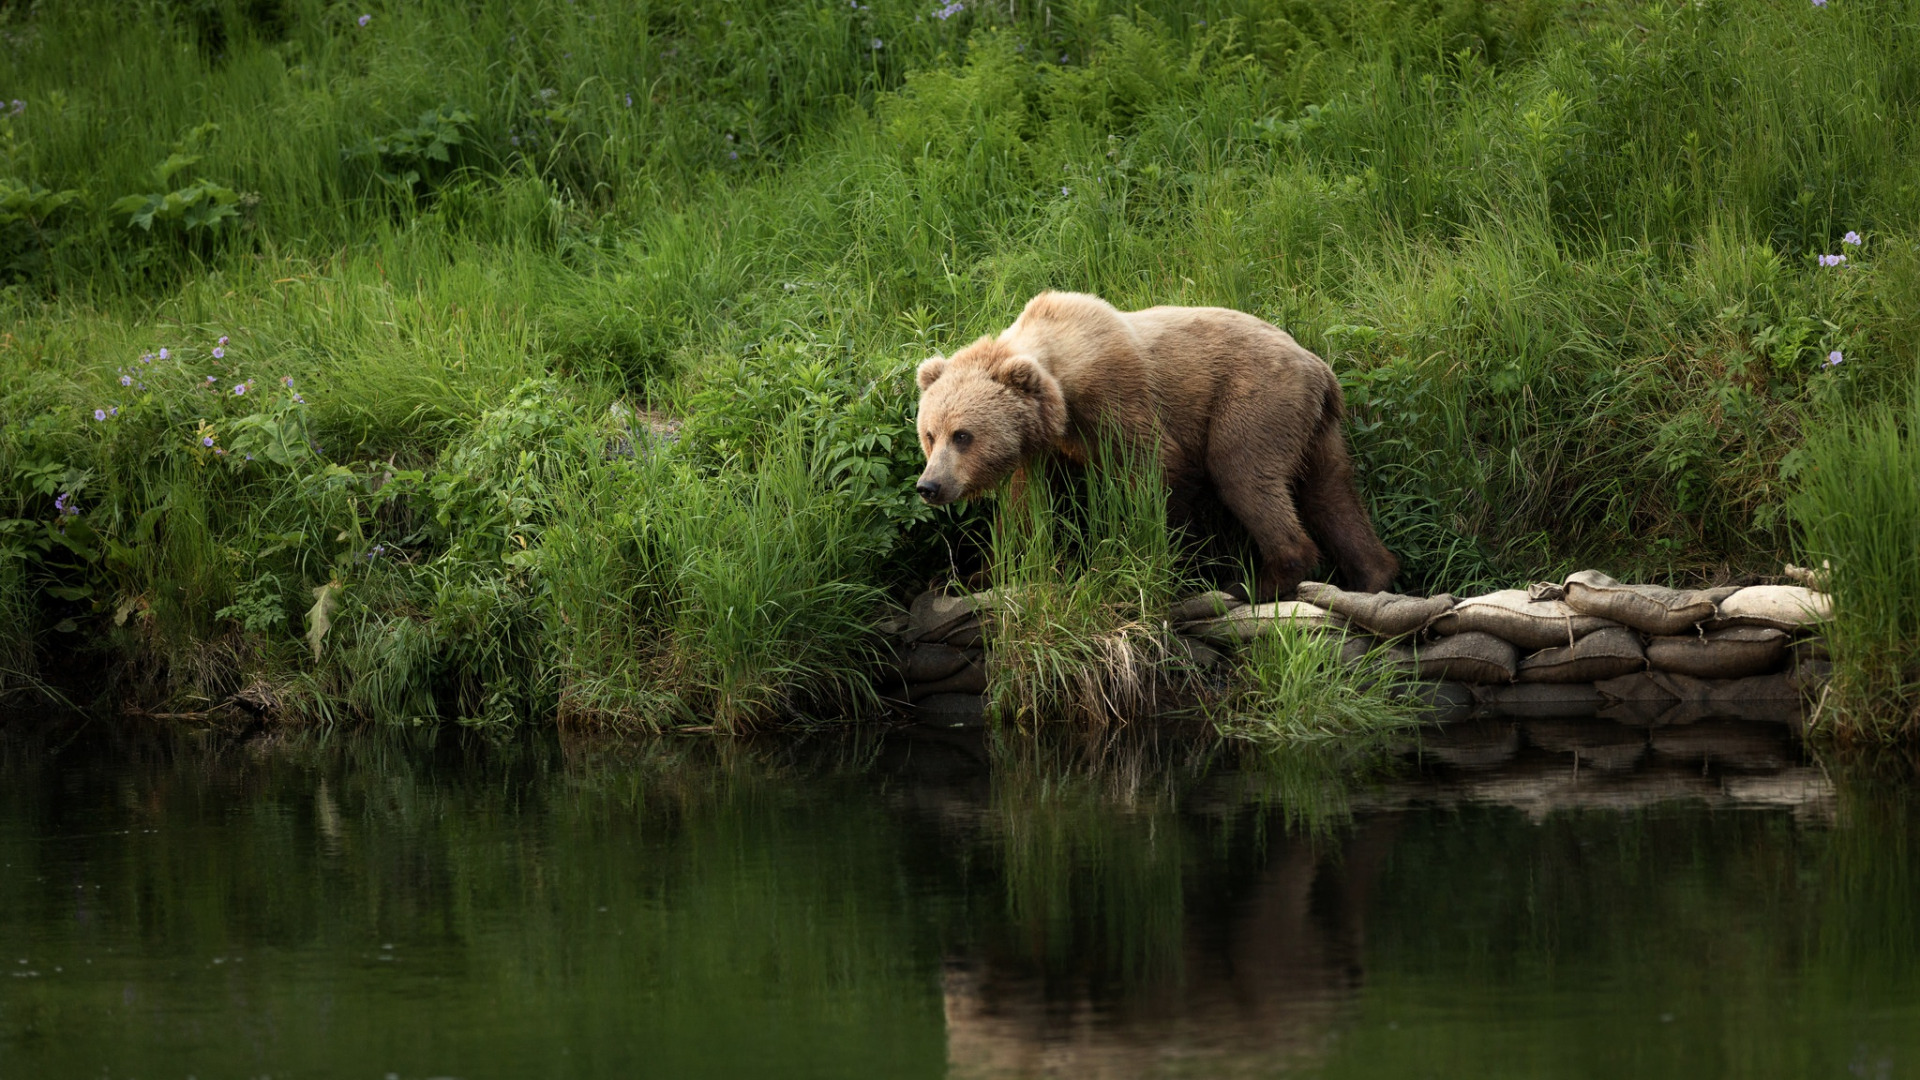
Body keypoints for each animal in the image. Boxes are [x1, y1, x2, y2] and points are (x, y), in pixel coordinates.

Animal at [913, 290, 1397, 599]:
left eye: (963, 435)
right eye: (930, 434)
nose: (929, 486)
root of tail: (1320, 368)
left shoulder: (1119, 398)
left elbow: (1156, 474)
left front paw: (1142, 559)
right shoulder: (1039, 447)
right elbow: (1024, 511)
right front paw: (969, 577)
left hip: (1255, 400)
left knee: (1244, 474)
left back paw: (1254, 583)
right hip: (1315, 430)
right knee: (1331, 493)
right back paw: (1374, 576)